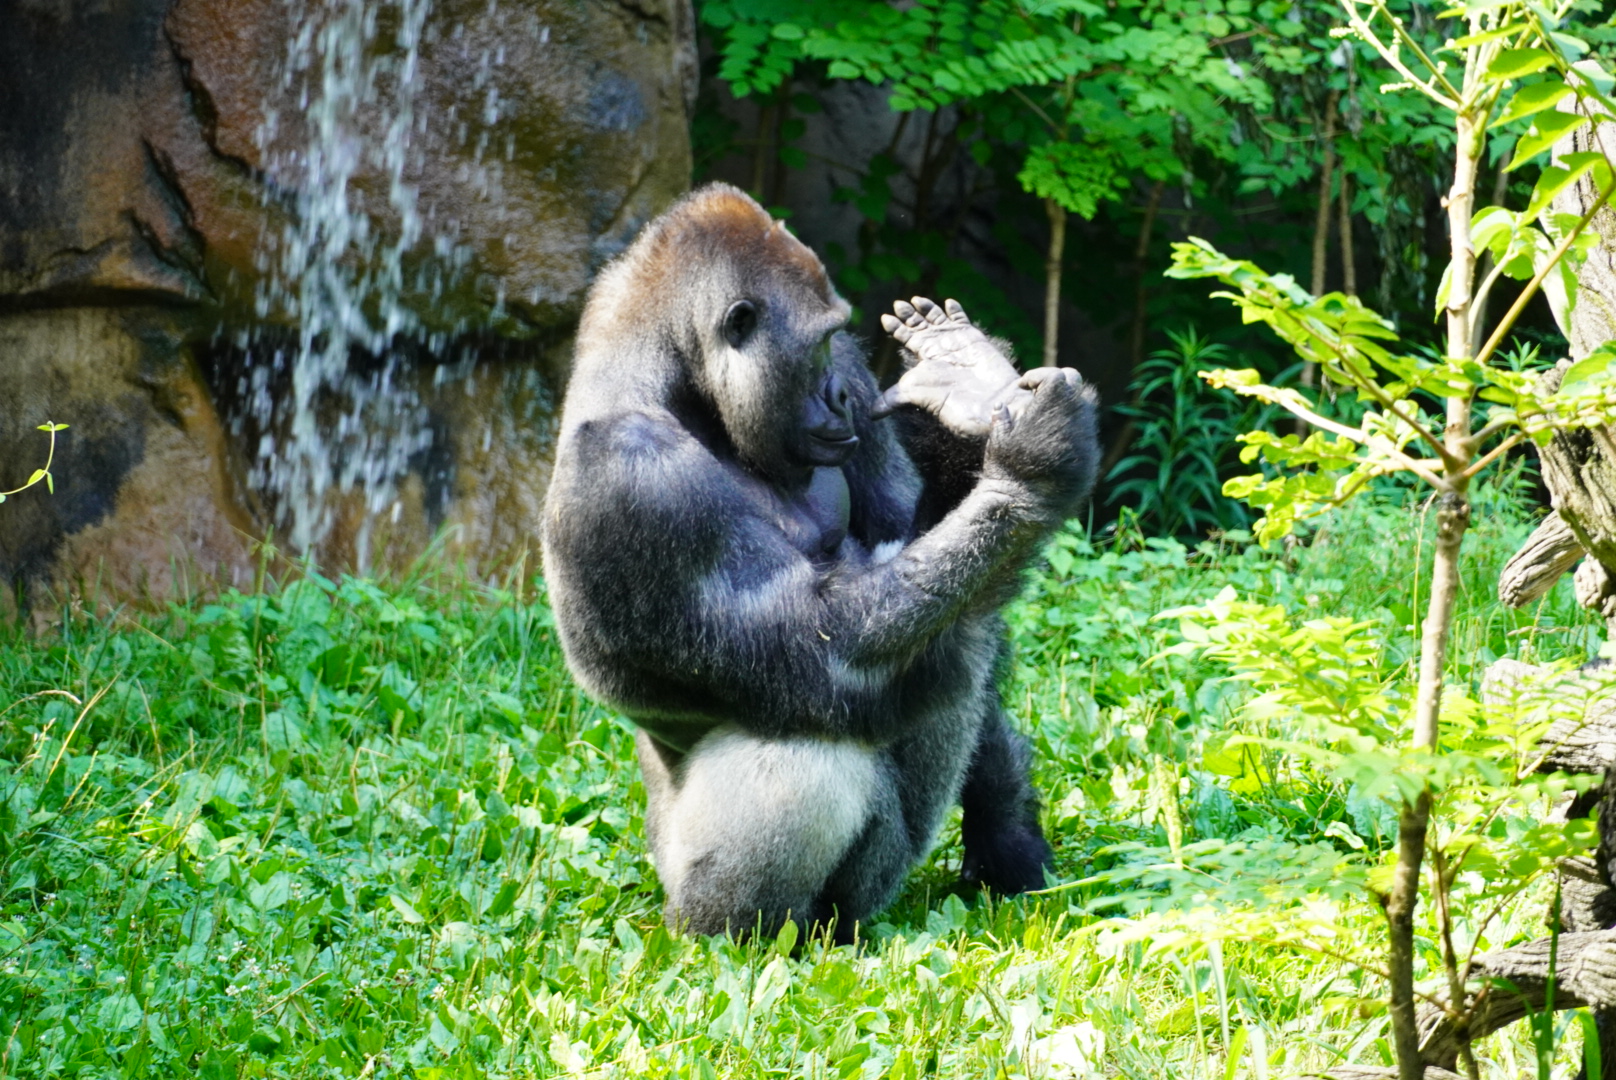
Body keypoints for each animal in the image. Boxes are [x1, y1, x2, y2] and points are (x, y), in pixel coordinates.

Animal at [540, 183, 1098, 940]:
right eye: (819, 344)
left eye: (840, 341)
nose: (837, 393)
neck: (673, 384)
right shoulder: (634, 479)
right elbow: (826, 648)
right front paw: (1035, 472)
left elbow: (928, 558)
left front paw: (1007, 837)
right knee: (815, 744)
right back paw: (743, 933)